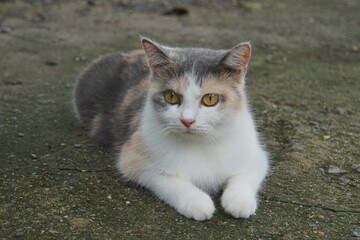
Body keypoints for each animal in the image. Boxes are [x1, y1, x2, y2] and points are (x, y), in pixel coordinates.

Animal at [73, 37, 268, 221]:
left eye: (210, 98)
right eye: (171, 96)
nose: (187, 120)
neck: (200, 143)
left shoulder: (256, 155)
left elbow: (245, 176)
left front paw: (239, 201)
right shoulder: (133, 158)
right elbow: (171, 182)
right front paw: (197, 202)